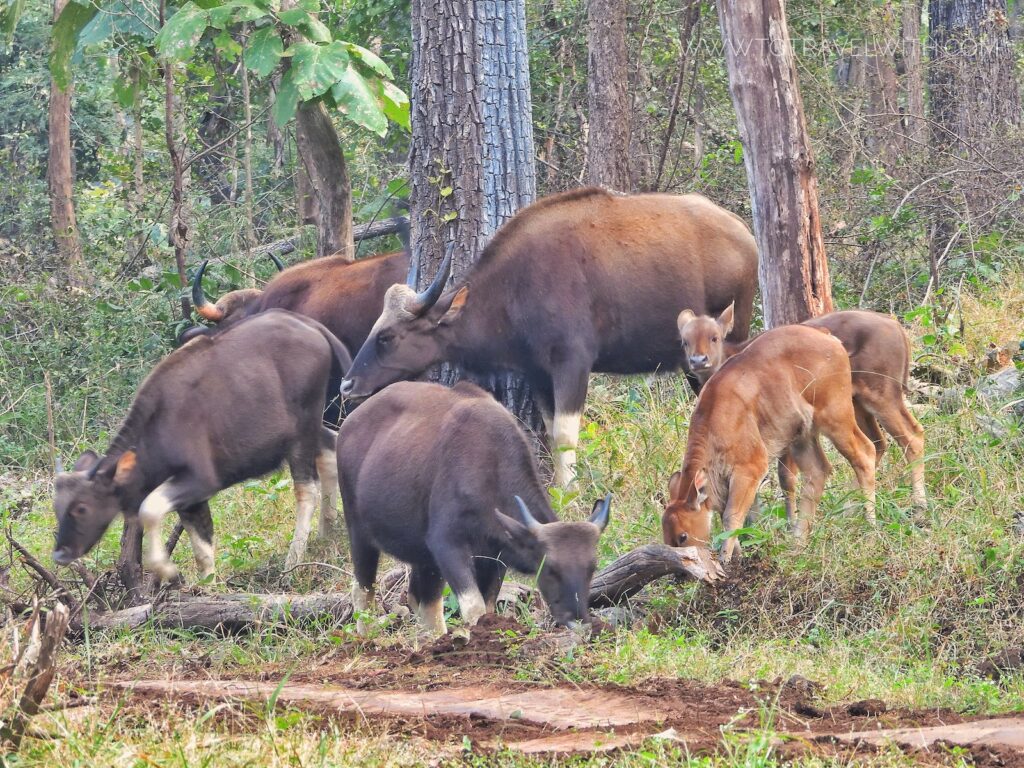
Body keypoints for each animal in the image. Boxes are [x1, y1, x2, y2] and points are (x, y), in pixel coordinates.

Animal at [52, 309, 352, 581]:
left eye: (81, 508)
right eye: (57, 508)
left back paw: (294, 560)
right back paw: (326, 533)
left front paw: (166, 569)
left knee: (307, 490)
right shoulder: (192, 501)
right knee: (331, 447)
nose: (60, 554)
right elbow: (203, 545)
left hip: (301, 433)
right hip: (305, 430)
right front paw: (207, 585)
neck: (158, 428)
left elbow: (149, 509)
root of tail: (310, 325)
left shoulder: (202, 481)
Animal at [335, 380, 610, 638]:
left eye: (592, 568)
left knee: (423, 600)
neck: (491, 469)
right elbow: (473, 608)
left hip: (423, 556)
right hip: (359, 531)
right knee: (363, 590)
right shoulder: (447, 543)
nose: (579, 622)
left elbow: (486, 607)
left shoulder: (495, 556)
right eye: (550, 567)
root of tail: (348, 424)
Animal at [339, 188, 757, 487]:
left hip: (731, 337)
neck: (515, 288)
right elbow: (550, 430)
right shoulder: (537, 373)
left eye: (388, 336)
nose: (347, 384)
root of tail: (743, 232)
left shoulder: (573, 362)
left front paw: (571, 494)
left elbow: (565, 434)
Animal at [663, 321, 880, 561]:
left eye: (682, 536)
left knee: (865, 453)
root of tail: (828, 337)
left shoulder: (750, 468)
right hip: (803, 436)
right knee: (817, 472)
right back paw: (797, 543)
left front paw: (726, 559)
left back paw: (871, 530)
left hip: (837, 419)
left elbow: (732, 517)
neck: (715, 418)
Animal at [675, 307, 925, 512]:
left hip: (881, 397)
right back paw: (848, 507)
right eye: (685, 341)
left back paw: (918, 505)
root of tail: (893, 324)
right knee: (878, 443)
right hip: (857, 404)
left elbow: (786, 477)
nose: (698, 360)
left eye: (714, 337)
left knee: (911, 436)